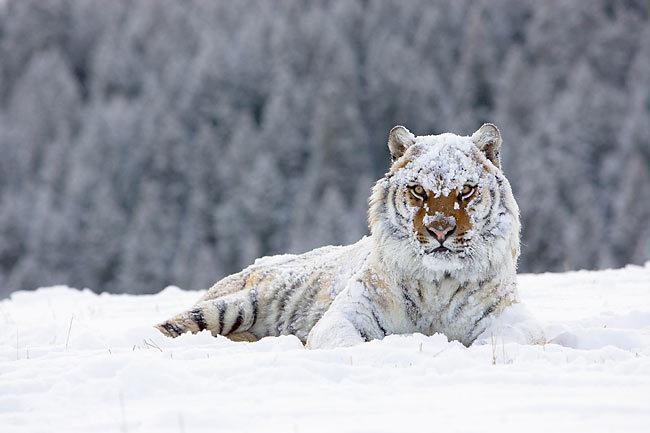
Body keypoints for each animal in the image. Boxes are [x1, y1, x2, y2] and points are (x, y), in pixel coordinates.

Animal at [155, 123, 545, 349]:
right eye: (419, 190)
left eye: (465, 190)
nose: (439, 229)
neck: (438, 283)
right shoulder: (346, 316)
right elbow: (350, 345)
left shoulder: (512, 320)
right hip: (232, 305)